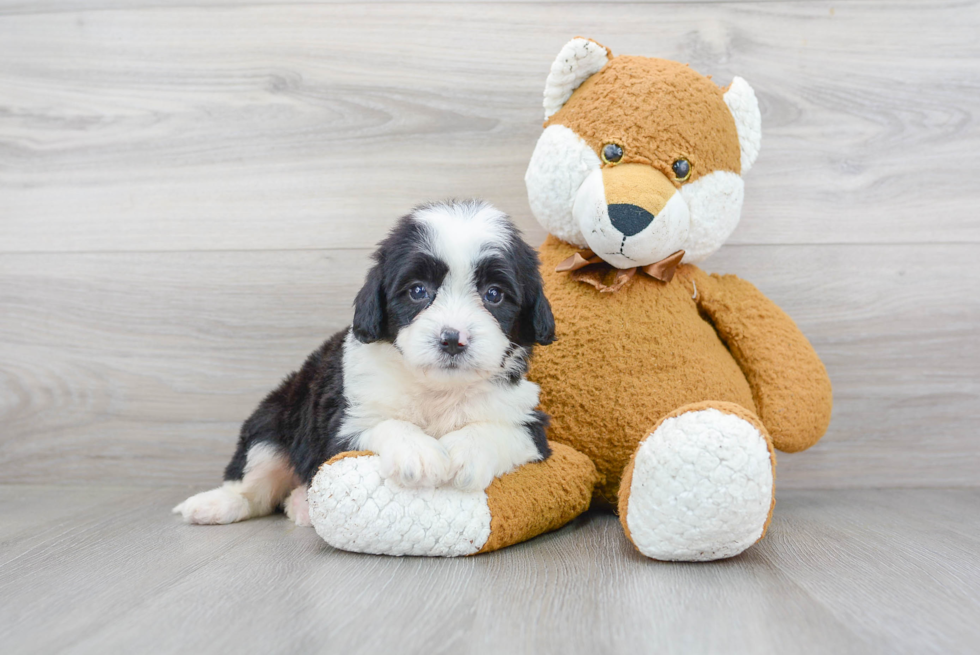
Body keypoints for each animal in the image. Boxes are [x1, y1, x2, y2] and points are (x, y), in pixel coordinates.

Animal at [175, 200, 556, 528]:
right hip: (273, 420)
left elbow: (499, 430)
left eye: (494, 294)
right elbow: (384, 424)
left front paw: (466, 450)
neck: (436, 390)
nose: (451, 339)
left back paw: (300, 503)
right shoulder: (342, 423)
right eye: (418, 291)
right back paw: (213, 504)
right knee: (254, 481)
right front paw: (417, 451)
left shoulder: (529, 425)